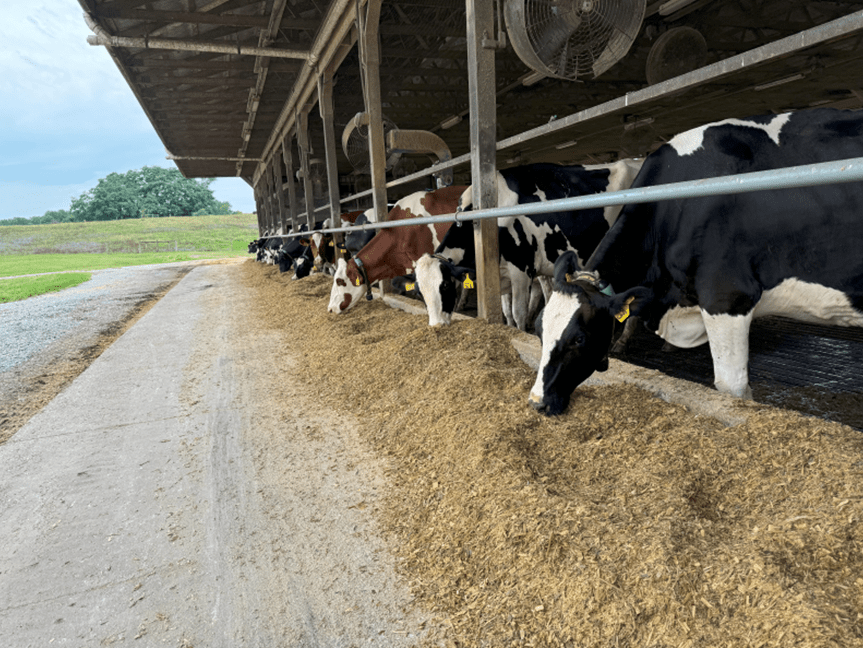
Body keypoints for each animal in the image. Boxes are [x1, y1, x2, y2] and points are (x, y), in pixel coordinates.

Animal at [416, 159, 644, 326]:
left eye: (445, 285)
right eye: (420, 291)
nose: (436, 326)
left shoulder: (521, 271)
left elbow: (518, 313)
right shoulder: (501, 273)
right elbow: (506, 312)